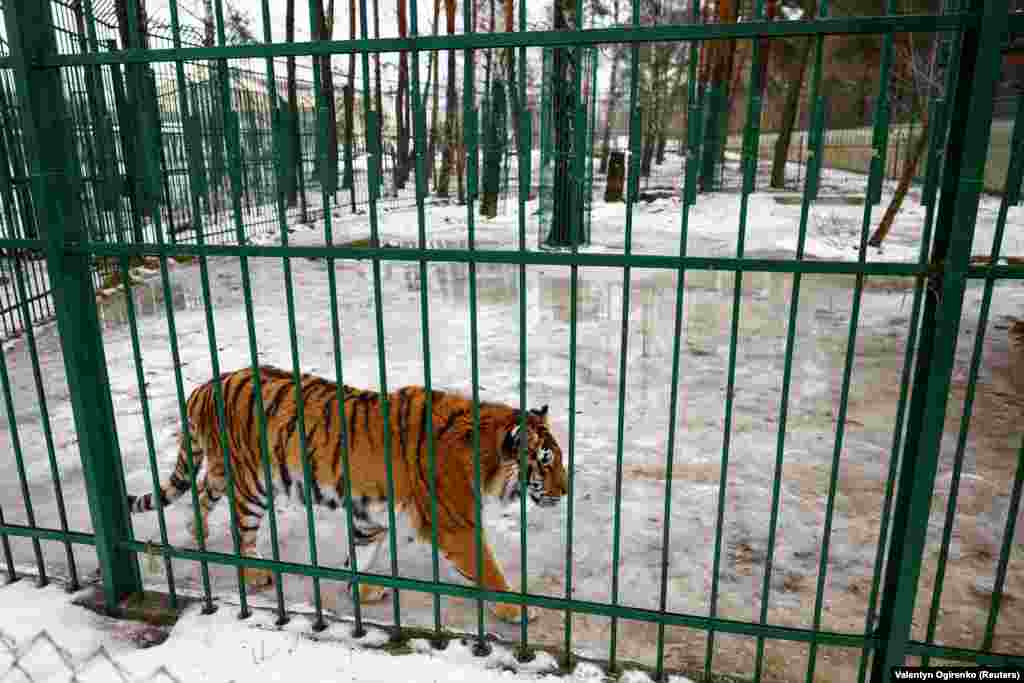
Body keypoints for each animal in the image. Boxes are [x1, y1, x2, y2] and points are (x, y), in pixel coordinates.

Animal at [128, 366, 569, 622]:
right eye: (546, 461)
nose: (565, 490)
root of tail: (205, 385)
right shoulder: (455, 524)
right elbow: (488, 569)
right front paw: (517, 608)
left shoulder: (374, 513)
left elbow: (364, 549)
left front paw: (363, 588)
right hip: (252, 483)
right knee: (241, 530)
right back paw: (254, 573)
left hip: (223, 470)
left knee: (202, 491)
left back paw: (197, 531)